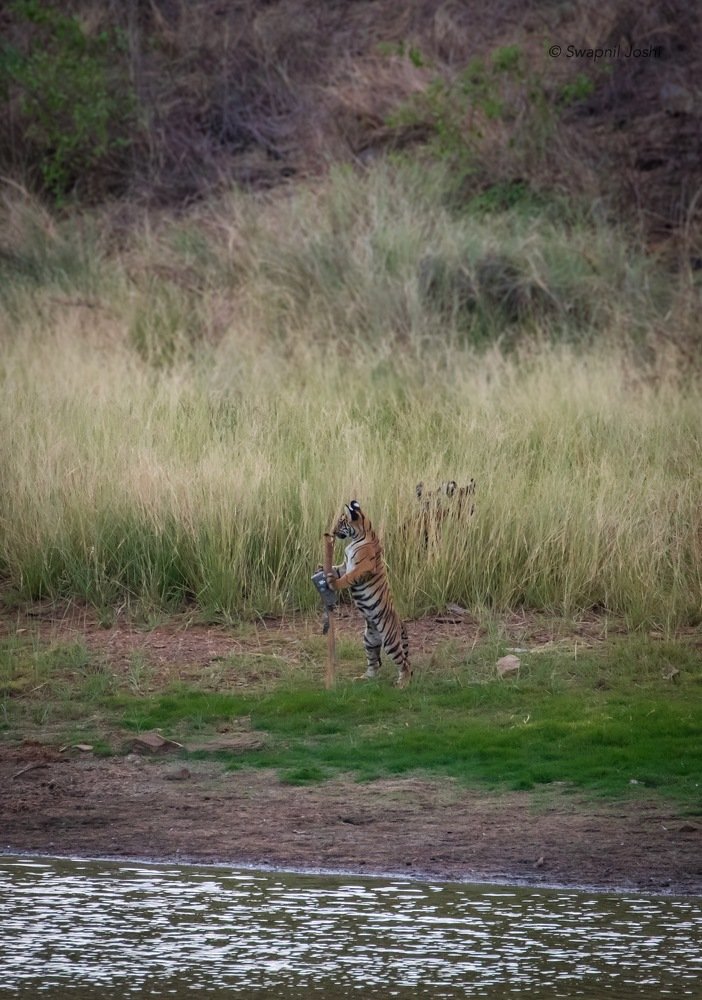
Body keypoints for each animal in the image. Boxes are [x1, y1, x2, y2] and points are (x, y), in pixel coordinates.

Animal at [327, 500, 411, 687]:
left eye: (341, 522)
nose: (332, 532)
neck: (357, 538)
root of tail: (400, 622)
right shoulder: (345, 564)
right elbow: (337, 569)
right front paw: (323, 570)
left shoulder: (362, 567)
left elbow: (346, 578)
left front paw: (333, 583)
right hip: (369, 641)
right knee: (374, 663)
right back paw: (364, 678)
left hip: (390, 642)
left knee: (405, 663)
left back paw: (402, 684)